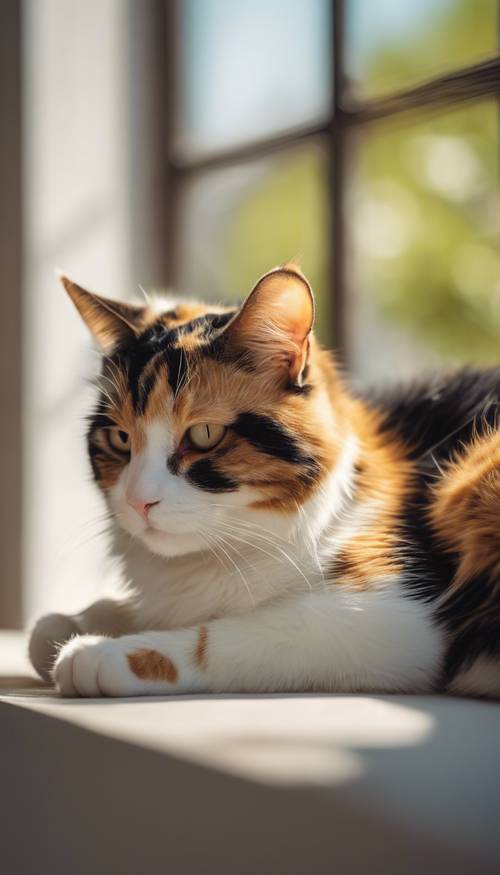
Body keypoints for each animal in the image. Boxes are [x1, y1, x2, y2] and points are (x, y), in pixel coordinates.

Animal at [30, 266, 500, 700]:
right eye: (121, 438)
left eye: (203, 434)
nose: (137, 501)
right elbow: (45, 632)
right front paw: (73, 623)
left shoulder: (390, 615)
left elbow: (222, 636)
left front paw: (99, 652)